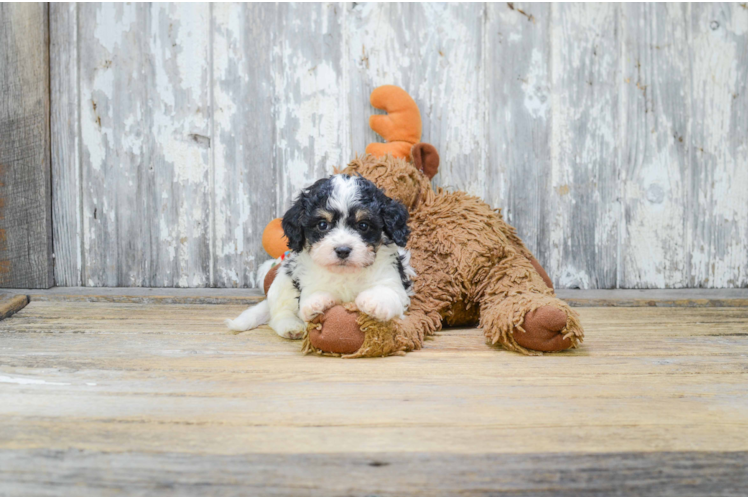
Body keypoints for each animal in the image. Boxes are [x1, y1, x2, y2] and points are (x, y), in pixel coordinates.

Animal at [225, 173, 418, 340]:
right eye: (322, 225)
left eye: (363, 225)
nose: (342, 250)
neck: (346, 274)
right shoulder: (306, 280)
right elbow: (310, 295)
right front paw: (316, 302)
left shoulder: (391, 277)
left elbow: (388, 291)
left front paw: (375, 302)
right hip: (284, 280)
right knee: (279, 312)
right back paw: (291, 326)